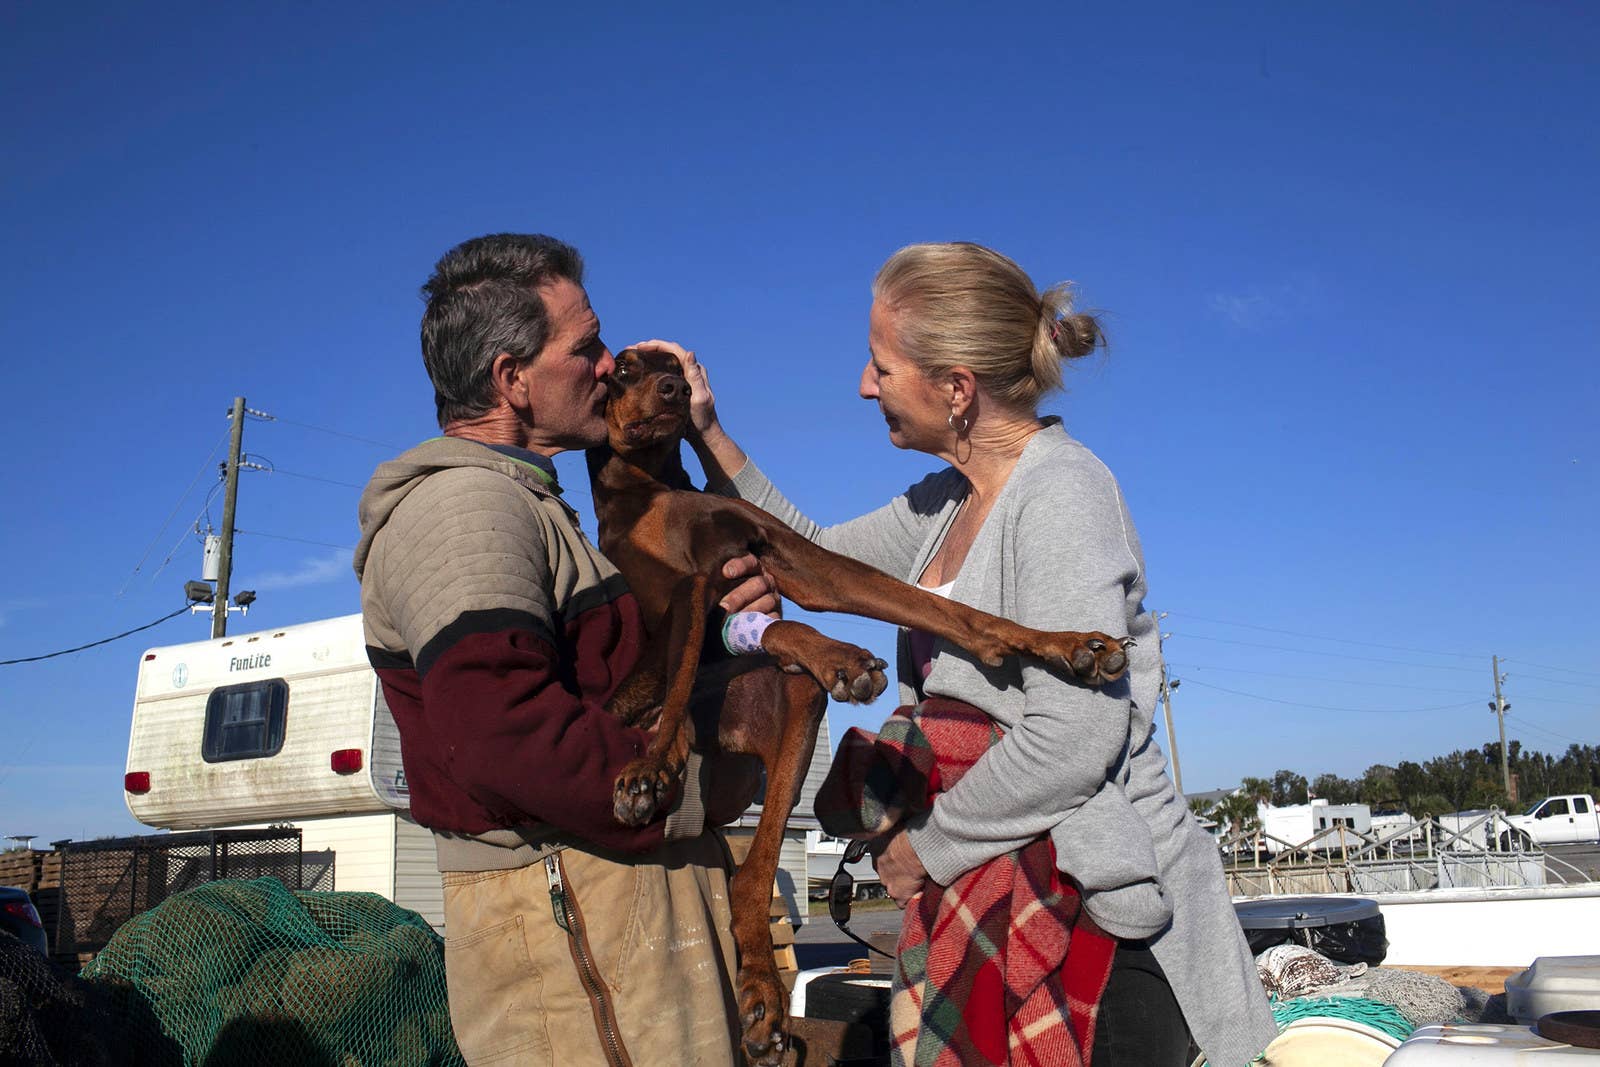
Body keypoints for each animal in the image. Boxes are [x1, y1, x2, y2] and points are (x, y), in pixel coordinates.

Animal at [588, 347, 1126, 1062]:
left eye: (670, 363)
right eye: (621, 368)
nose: (677, 388)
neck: (656, 483)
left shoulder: (788, 558)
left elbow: (940, 608)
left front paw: (1061, 644)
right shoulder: (680, 591)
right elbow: (713, 658)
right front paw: (649, 764)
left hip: (794, 715)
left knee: (750, 875)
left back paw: (762, 990)